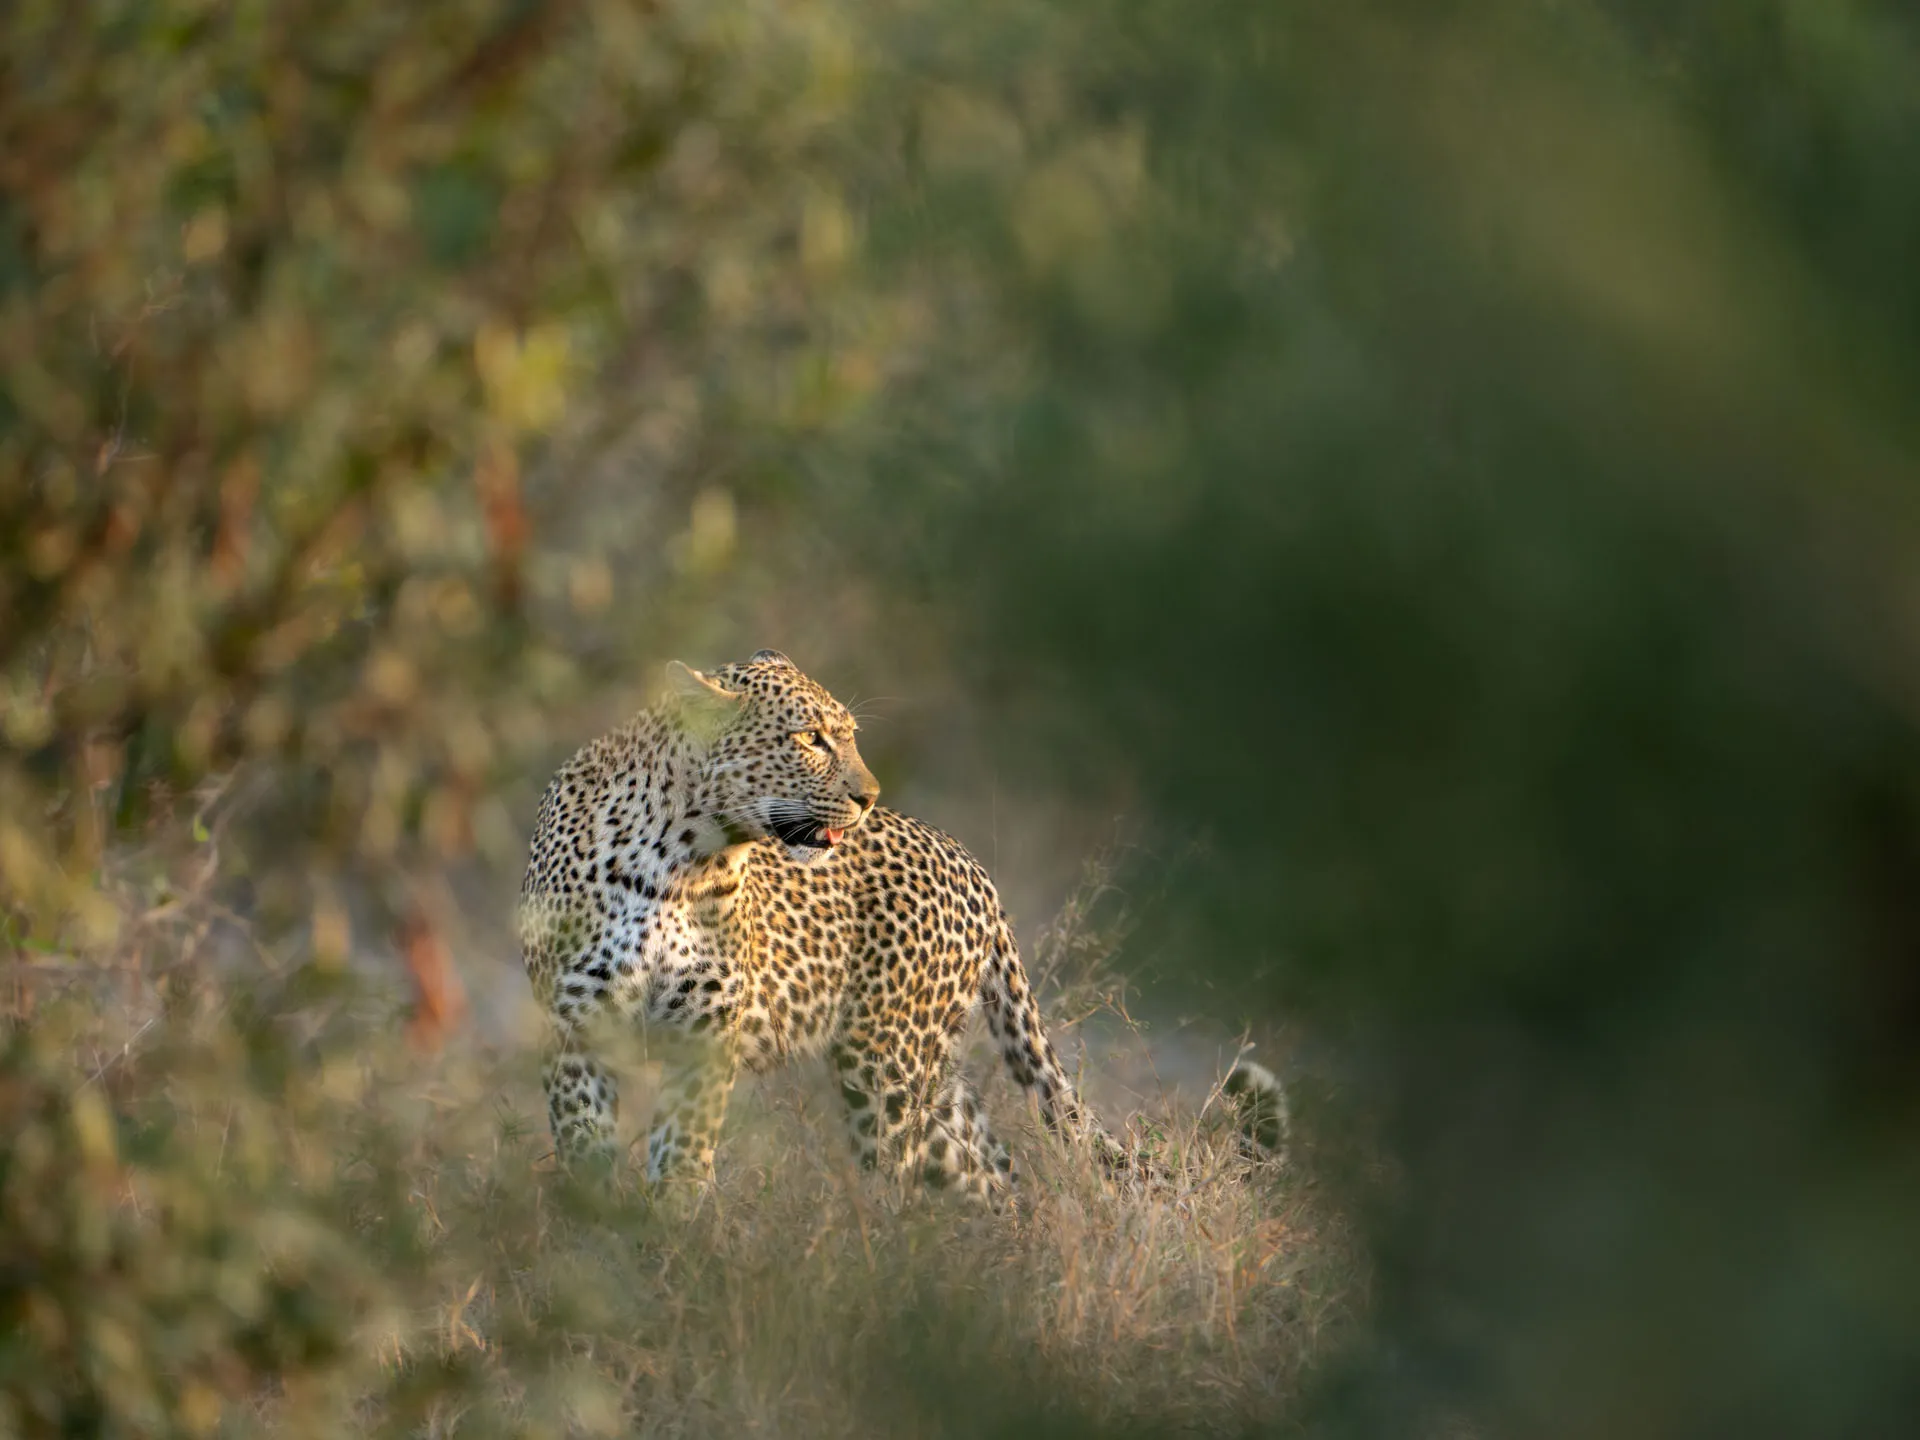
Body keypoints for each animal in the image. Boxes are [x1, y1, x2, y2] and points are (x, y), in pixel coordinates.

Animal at [518, 649, 1286, 1203]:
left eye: (849, 738)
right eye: (810, 738)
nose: (867, 795)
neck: (676, 861)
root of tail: (972, 864)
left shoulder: (705, 1037)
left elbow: (681, 1156)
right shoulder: (573, 1032)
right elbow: (588, 1153)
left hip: (887, 1066)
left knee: (927, 1182)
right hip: (924, 1076)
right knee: (992, 1175)